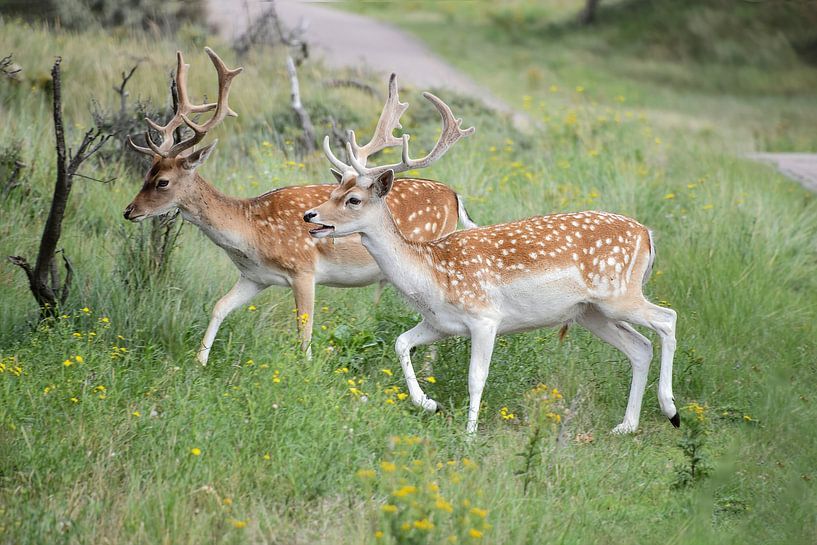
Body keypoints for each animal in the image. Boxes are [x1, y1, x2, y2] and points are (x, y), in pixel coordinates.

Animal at [123, 48, 476, 364]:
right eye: (146, 171)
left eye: (162, 181)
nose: (129, 211)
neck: (250, 233)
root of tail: (455, 196)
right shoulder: (254, 276)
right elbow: (219, 306)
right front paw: (200, 361)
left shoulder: (303, 269)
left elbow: (303, 331)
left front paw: (305, 371)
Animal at [304, 86, 680, 435]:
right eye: (334, 192)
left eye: (353, 199)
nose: (310, 215)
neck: (433, 277)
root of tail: (647, 235)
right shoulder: (439, 323)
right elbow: (401, 343)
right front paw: (429, 403)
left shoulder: (485, 317)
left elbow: (476, 377)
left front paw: (469, 433)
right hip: (590, 312)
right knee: (640, 347)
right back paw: (626, 426)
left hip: (619, 294)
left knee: (667, 319)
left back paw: (671, 410)